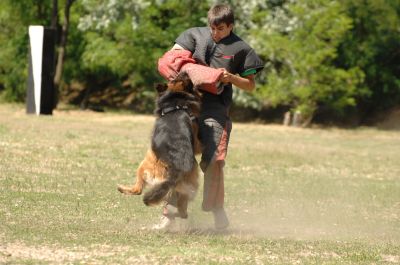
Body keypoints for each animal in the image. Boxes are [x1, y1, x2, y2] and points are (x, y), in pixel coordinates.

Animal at [117, 71, 202, 219]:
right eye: (176, 77)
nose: (185, 71)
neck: (175, 104)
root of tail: (176, 171)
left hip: (143, 165)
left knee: (138, 189)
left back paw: (123, 189)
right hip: (187, 186)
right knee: (182, 207)